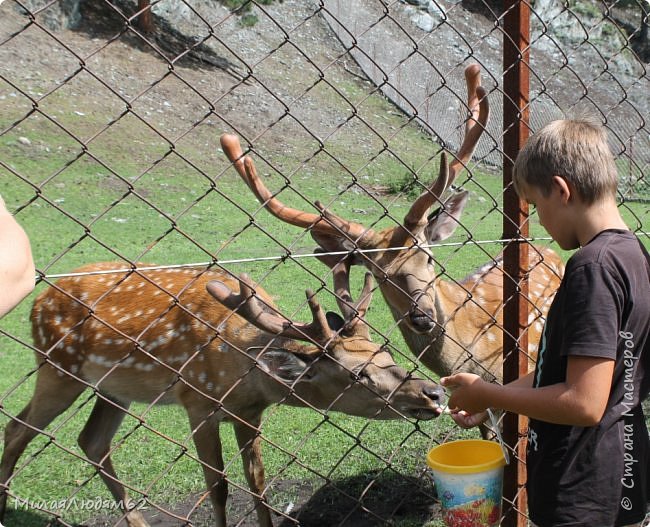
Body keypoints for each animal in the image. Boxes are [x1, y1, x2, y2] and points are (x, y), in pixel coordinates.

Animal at [0, 262, 442, 527]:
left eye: (386, 351)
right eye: (358, 374)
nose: (433, 392)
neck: (243, 373)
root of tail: (39, 301)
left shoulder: (250, 414)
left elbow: (258, 483)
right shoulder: (198, 402)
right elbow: (219, 488)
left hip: (111, 387)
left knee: (91, 439)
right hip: (57, 366)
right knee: (17, 428)